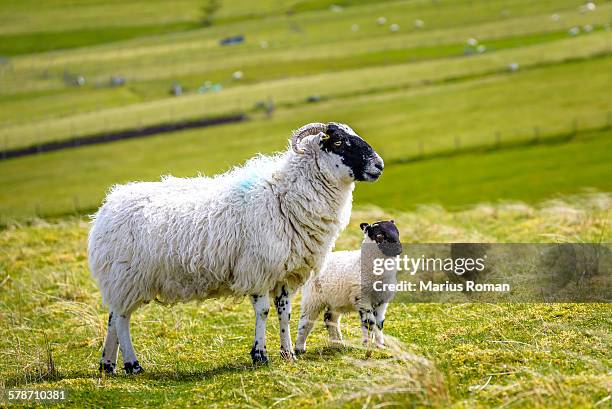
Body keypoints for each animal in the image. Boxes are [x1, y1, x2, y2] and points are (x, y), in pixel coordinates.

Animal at [87, 121, 382, 372]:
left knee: (113, 315)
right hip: (128, 276)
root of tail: (106, 209)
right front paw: (260, 355)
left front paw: (288, 354)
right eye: (340, 142)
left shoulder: (283, 273)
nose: (379, 165)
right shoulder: (258, 269)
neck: (284, 196)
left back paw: (108, 365)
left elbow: (284, 314)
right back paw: (132, 365)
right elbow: (263, 312)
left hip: (119, 279)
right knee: (122, 318)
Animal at [296, 220, 402, 354]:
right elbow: (369, 323)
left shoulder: (382, 302)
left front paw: (380, 346)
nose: (398, 249)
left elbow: (379, 324)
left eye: (397, 232)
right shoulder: (363, 299)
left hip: (336, 301)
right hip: (312, 298)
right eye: (379, 236)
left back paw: (338, 344)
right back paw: (299, 348)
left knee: (330, 319)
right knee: (306, 321)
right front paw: (367, 346)